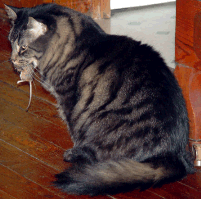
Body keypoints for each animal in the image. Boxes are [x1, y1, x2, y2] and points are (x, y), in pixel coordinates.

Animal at [5, 3, 196, 196]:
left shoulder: (68, 101)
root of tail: (174, 157)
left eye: (23, 48)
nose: (12, 60)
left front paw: (74, 148)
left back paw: (75, 155)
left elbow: (73, 130)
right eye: (11, 43)